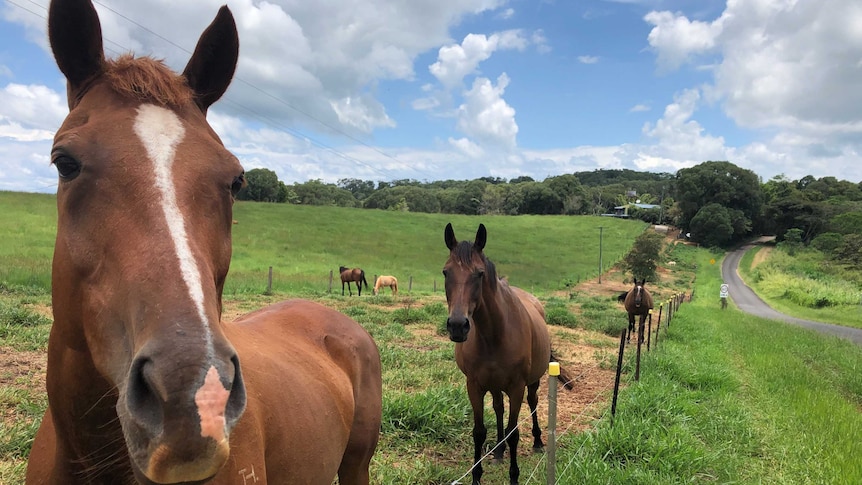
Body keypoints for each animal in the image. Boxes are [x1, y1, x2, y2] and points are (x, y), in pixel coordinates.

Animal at [446, 223, 572, 484]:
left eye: (479, 274)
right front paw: (476, 476)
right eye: (445, 272)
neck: (494, 335)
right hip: (494, 385)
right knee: (498, 408)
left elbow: (514, 432)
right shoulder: (474, 385)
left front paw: (514, 476)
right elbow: (479, 431)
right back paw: (499, 450)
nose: (457, 325)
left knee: (533, 403)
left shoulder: (516, 386)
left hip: (532, 382)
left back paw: (537, 441)